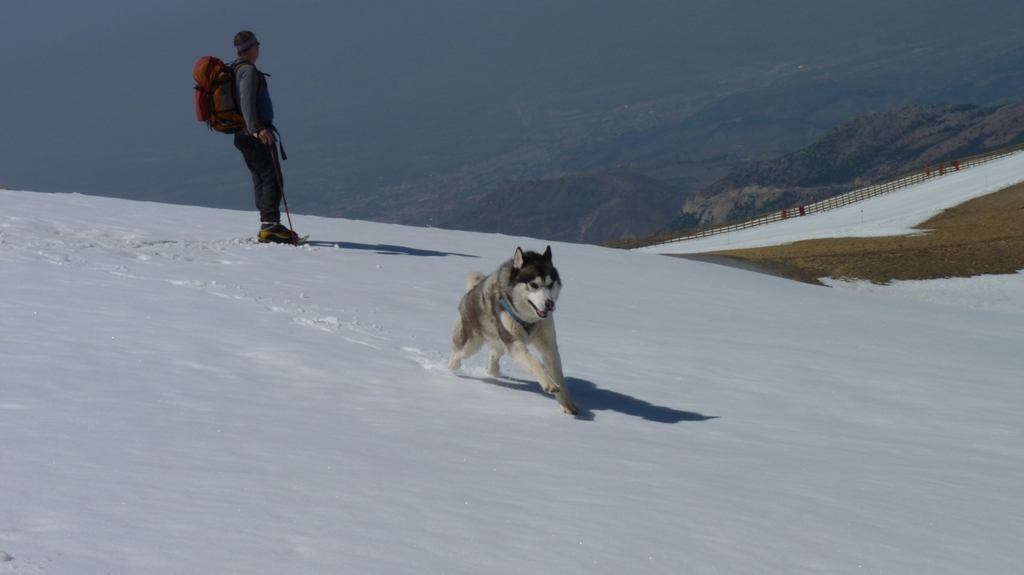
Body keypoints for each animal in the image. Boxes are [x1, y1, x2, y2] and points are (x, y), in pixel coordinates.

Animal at [448, 243, 577, 413]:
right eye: (534, 285)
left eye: (550, 285)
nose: (550, 304)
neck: (528, 319)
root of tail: (471, 291)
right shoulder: (516, 344)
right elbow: (535, 362)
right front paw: (548, 382)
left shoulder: (548, 344)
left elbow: (558, 374)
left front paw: (566, 404)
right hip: (472, 344)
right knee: (457, 354)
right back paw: (451, 369)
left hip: (499, 341)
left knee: (493, 354)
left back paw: (493, 371)